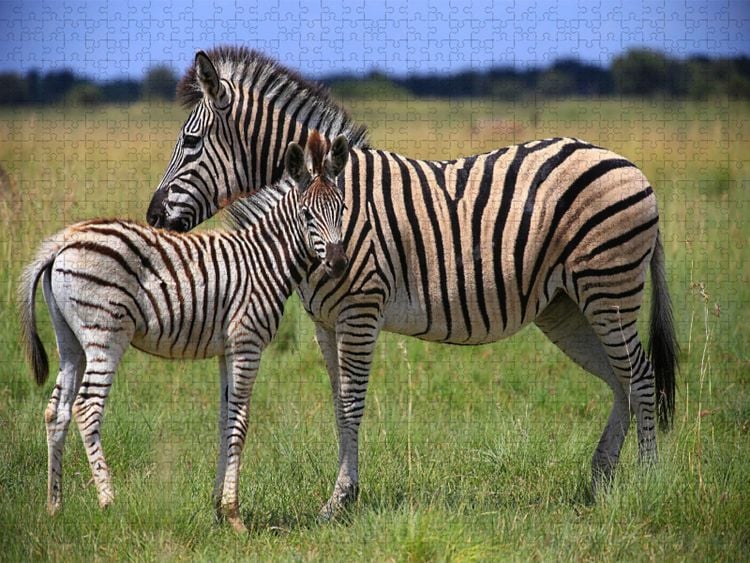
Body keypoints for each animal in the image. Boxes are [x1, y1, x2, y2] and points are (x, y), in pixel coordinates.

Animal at [19, 131, 350, 532]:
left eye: (342, 210)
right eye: (306, 215)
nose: (338, 264)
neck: (265, 259)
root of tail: (62, 242)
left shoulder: (227, 348)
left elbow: (225, 419)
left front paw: (218, 511)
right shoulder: (247, 343)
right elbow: (241, 421)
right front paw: (235, 515)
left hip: (70, 341)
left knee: (57, 410)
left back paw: (55, 506)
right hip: (105, 334)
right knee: (87, 407)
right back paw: (108, 502)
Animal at [146, 47, 678, 520]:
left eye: (190, 142)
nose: (152, 217)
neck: (324, 202)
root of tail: (630, 164)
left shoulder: (360, 310)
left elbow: (353, 404)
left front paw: (339, 501)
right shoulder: (324, 321)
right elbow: (337, 405)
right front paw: (345, 494)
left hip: (608, 290)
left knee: (641, 376)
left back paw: (649, 480)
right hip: (566, 306)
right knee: (620, 379)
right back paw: (601, 479)